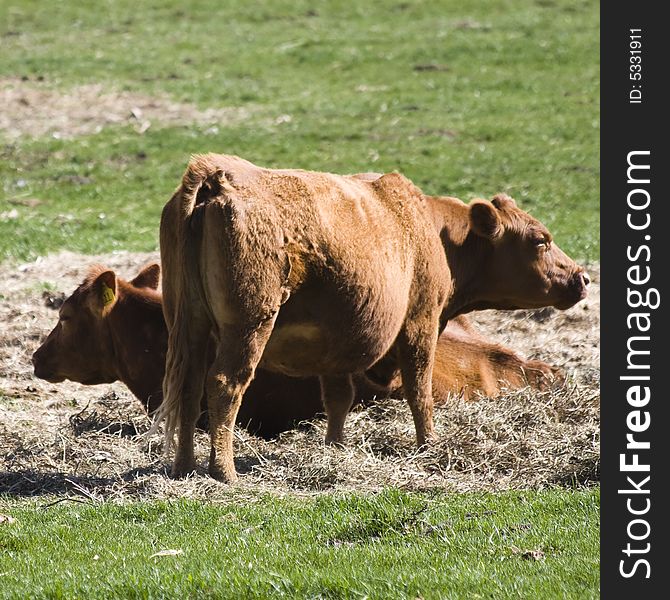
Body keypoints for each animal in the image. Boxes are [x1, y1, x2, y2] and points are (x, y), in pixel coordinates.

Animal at [156, 156, 588, 482]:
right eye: (540, 239)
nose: (582, 277)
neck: (429, 228)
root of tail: (216, 178)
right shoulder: (420, 323)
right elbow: (419, 390)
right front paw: (429, 444)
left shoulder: (335, 346)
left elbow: (338, 399)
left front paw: (335, 449)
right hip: (248, 326)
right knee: (224, 385)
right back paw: (224, 470)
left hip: (189, 325)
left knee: (188, 388)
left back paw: (184, 467)